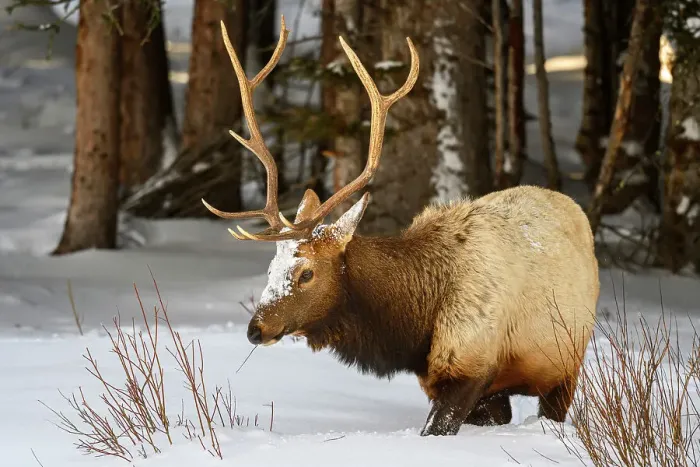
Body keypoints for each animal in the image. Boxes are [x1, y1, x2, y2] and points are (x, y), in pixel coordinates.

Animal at [202, 16, 600, 436]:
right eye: (271, 269)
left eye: (306, 273)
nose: (255, 329)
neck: (412, 328)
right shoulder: (455, 383)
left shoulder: (470, 364)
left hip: (565, 366)